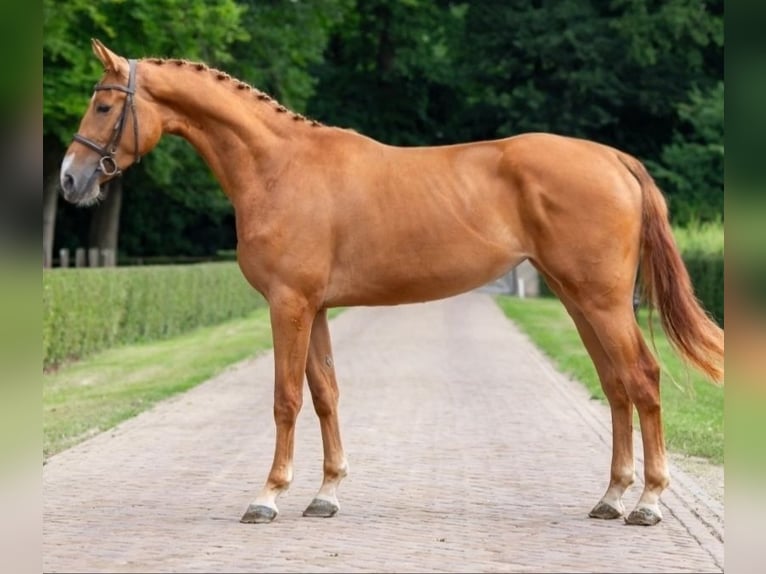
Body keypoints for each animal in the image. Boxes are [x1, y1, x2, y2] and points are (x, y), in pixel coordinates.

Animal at [59, 39, 723, 526]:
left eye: (102, 105)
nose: (70, 179)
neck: (278, 166)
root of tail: (614, 159)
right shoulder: (315, 308)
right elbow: (325, 393)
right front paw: (326, 495)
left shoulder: (288, 304)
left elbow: (285, 398)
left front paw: (268, 496)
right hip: (579, 300)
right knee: (615, 385)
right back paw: (611, 498)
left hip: (602, 301)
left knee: (643, 378)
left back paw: (648, 502)